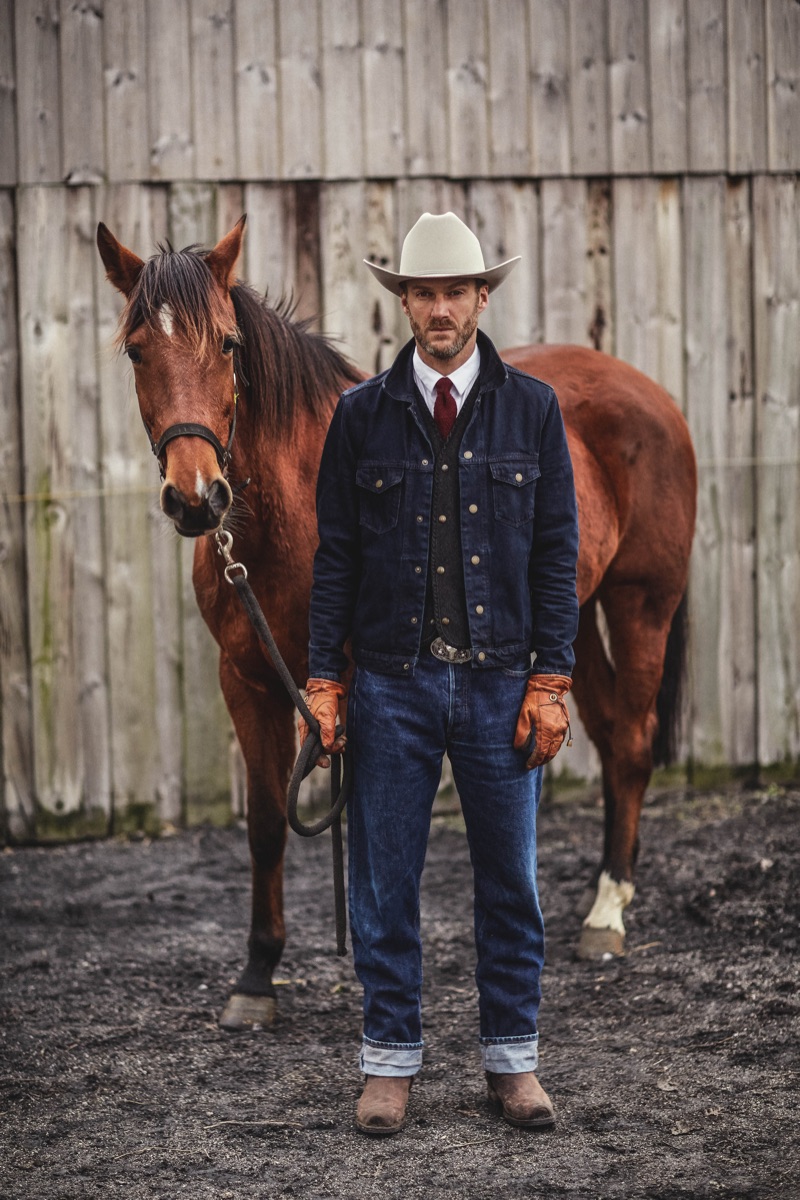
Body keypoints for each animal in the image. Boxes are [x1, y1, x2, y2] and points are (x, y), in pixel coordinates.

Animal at [98, 220, 695, 1027]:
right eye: (137, 351)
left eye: (225, 343)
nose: (197, 498)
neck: (295, 509)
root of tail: (649, 392)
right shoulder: (248, 680)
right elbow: (266, 822)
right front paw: (257, 976)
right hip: (570, 617)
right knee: (604, 732)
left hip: (640, 604)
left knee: (630, 741)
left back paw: (606, 915)